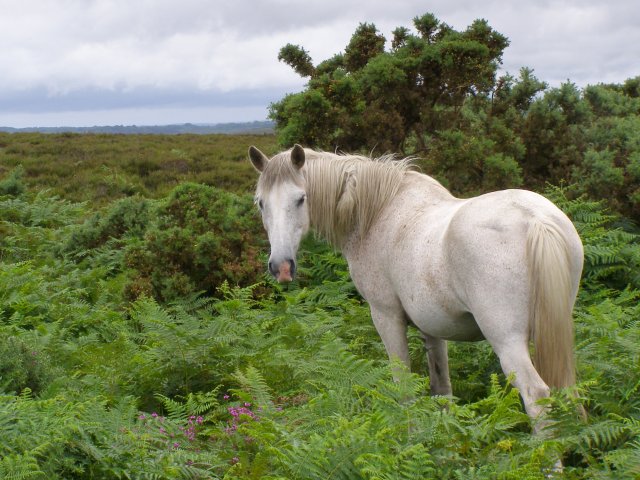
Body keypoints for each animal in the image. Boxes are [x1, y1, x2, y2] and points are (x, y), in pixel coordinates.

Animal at [250, 143, 584, 428]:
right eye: (261, 203)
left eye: (300, 199)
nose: (281, 267)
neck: (376, 212)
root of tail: (535, 220)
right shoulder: (433, 327)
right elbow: (441, 388)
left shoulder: (386, 317)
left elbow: (404, 387)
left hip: (507, 340)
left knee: (537, 395)